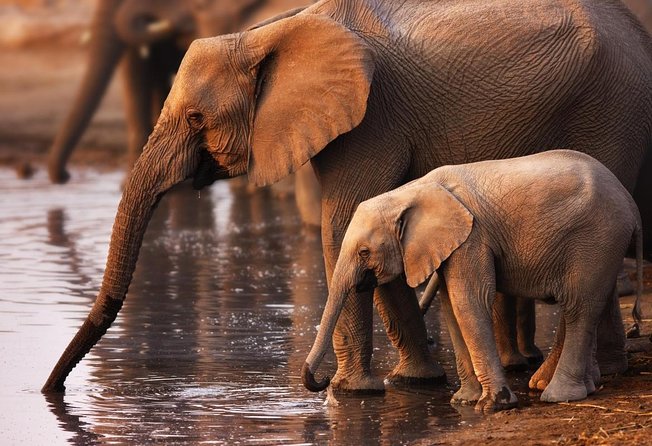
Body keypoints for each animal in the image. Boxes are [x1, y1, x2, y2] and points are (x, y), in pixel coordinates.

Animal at [302, 150, 643, 412]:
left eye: (364, 252)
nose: (322, 383)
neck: (409, 192)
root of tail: (631, 203)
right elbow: (452, 307)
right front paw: (464, 401)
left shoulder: (472, 238)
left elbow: (468, 301)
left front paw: (493, 405)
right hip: (602, 244)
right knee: (591, 304)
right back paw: (580, 386)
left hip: (597, 238)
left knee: (578, 308)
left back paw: (558, 396)